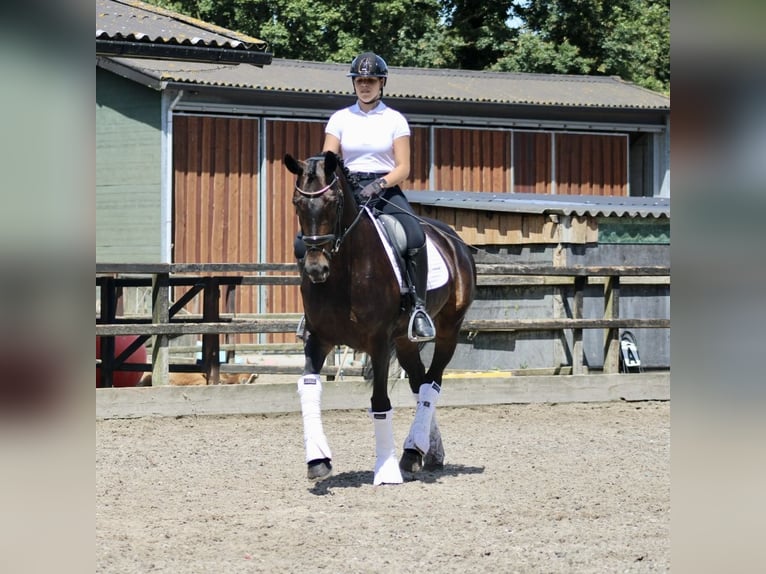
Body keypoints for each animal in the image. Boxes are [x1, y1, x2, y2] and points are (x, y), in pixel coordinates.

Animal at [284, 152, 476, 486]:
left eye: (333, 201)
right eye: (297, 202)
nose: (316, 268)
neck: (344, 272)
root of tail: (453, 239)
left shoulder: (379, 343)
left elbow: (380, 402)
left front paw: (385, 470)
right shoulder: (319, 339)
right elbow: (308, 387)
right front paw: (318, 460)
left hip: (449, 329)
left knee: (432, 383)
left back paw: (413, 451)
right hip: (405, 340)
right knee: (419, 382)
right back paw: (425, 452)